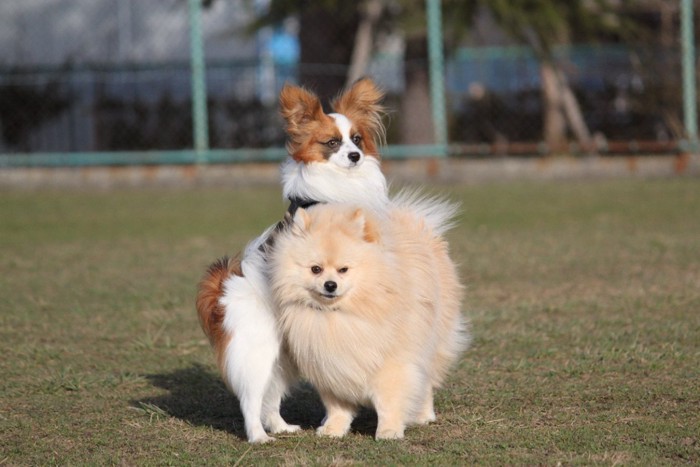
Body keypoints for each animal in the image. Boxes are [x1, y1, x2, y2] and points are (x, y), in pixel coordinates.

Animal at [196, 78, 388, 444]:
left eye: (357, 139)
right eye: (332, 143)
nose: (355, 156)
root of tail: (222, 291)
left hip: (282, 360)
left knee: (270, 400)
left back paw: (283, 427)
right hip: (258, 353)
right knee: (251, 400)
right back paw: (258, 437)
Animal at [268, 203, 470, 440]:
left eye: (343, 270)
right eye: (315, 269)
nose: (330, 285)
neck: (340, 314)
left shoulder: (391, 363)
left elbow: (388, 403)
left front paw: (389, 431)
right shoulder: (330, 365)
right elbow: (336, 405)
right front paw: (333, 429)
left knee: (426, 381)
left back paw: (424, 415)